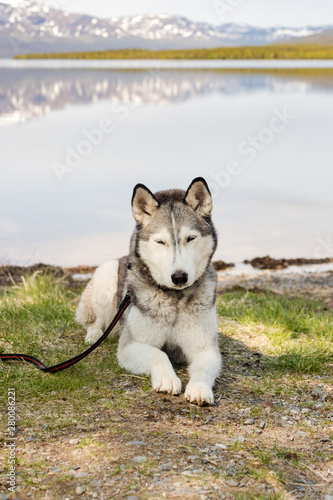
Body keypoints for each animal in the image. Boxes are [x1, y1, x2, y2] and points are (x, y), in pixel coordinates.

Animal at [75, 179, 220, 406]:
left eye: (191, 238)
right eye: (160, 241)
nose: (179, 277)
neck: (174, 299)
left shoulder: (205, 348)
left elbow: (203, 367)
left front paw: (199, 388)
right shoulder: (131, 346)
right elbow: (159, 354)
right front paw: (168, 379)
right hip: (105, 277)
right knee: (95, 321)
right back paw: (94, 335)